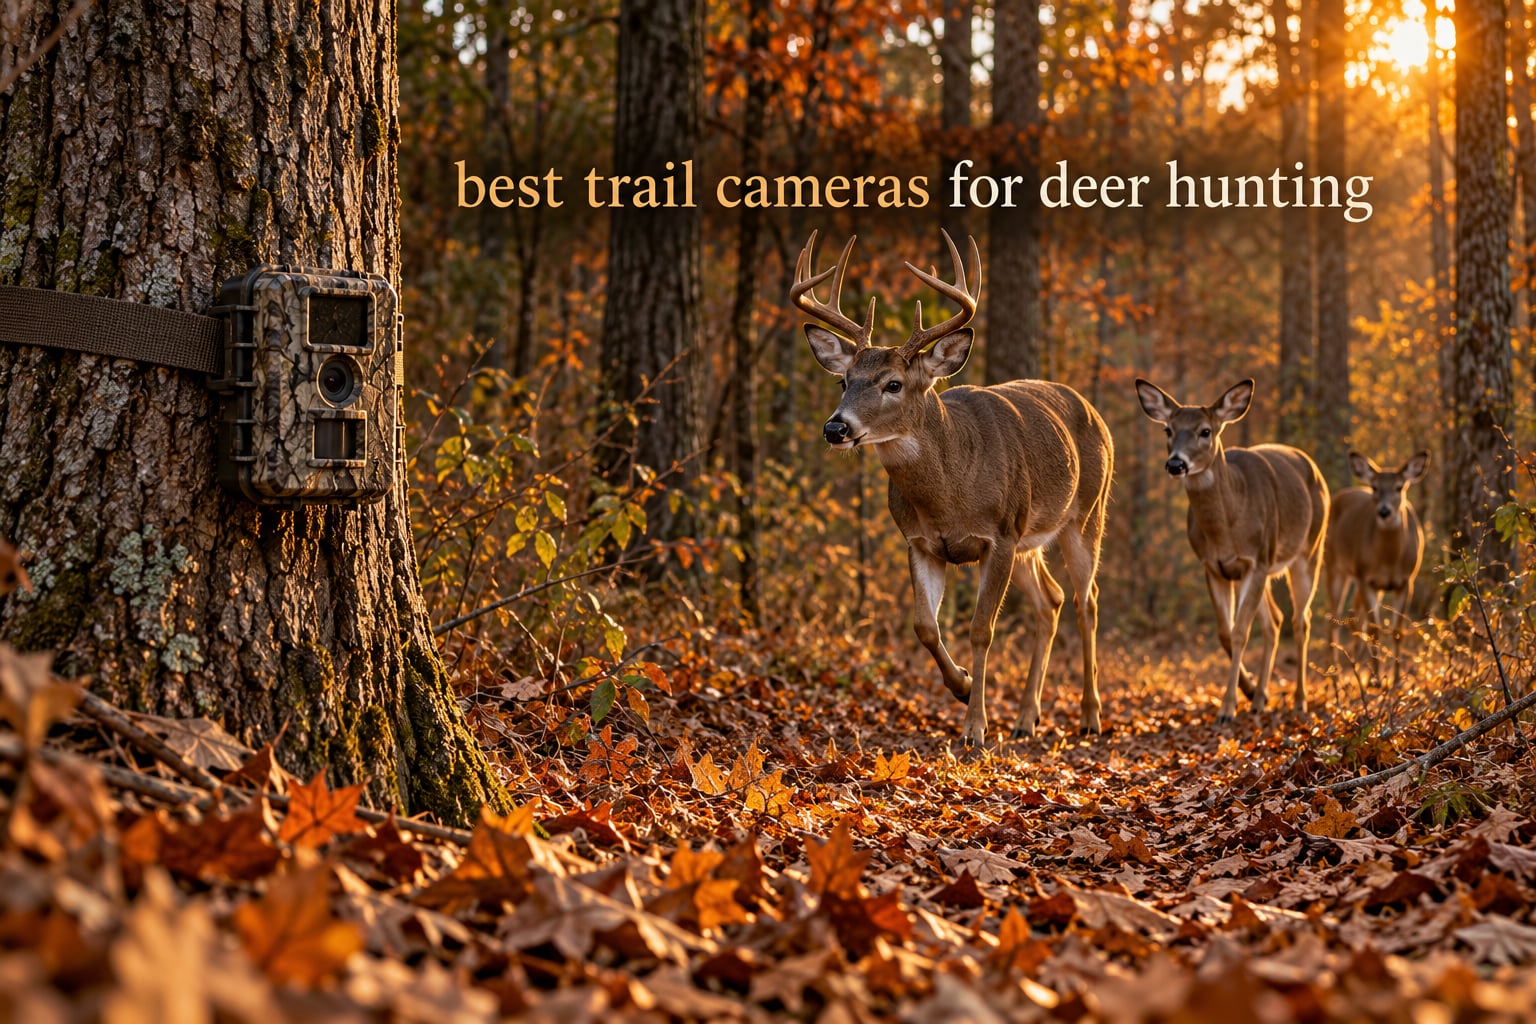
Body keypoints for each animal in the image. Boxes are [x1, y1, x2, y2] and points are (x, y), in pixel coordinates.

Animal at [792, 230, 1114, 751]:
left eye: (893, 383)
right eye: (844, 380)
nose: (836, 428)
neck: (949, 494)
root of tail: (1092, 410)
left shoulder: (998, 536)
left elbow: (982, 630)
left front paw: (975, 728)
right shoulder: (922, 542)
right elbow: (925, 626)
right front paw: (961, 685)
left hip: (1085, 515)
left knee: (1087, 601)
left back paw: (1090, 716)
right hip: (1029, 541)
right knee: (1050, 601)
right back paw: (1026, 718)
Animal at [1135, 379, 1329, 721]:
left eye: (1205, 431)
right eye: (1168, 429)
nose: (1176, 464)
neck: (1227, 527)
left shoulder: (1256, 560)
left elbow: (1240, 633)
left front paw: (1226, 708)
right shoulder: (1214, 566)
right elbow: (1226, 633)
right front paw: (1245, 692)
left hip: (1308, 552)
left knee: (1300, 621)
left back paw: (1299, 700)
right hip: (1266, 567)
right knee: (1275, 621)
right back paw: (1260, 698)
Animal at [1324, 450, 1428, 682]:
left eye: (1399, 486)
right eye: (1374, 487)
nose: (1384, 512)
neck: (1389, 561)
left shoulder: (1407, 581)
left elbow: (1397, 630)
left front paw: (1396, 680)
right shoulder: (1366, 578)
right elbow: (1374, 629)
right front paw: (1378, 681)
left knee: (1355, 615)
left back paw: (1357, 664)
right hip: (1334, 566)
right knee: (1334, 617)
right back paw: (1334, 673)